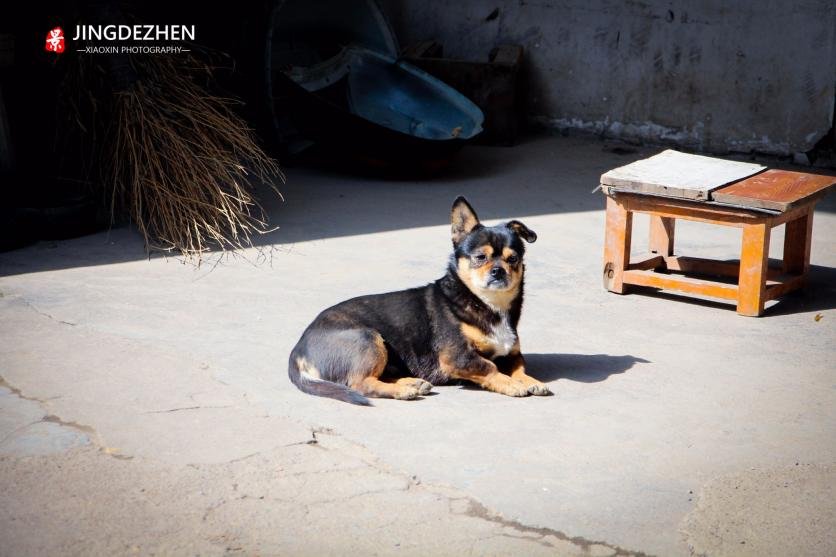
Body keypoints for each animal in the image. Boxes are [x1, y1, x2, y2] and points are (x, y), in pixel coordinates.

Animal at [288, 195, 548, 404]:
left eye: (513, 259)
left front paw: (529, 380)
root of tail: (298, 349)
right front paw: (511, 384)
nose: (498, 271)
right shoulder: (457, 357)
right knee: (361, 383)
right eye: (480, 257)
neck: (488, 304)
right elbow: (490, 367)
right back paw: (403, 391)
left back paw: (411, 382)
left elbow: (519, 367)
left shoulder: (512, 353)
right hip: (369, 338)